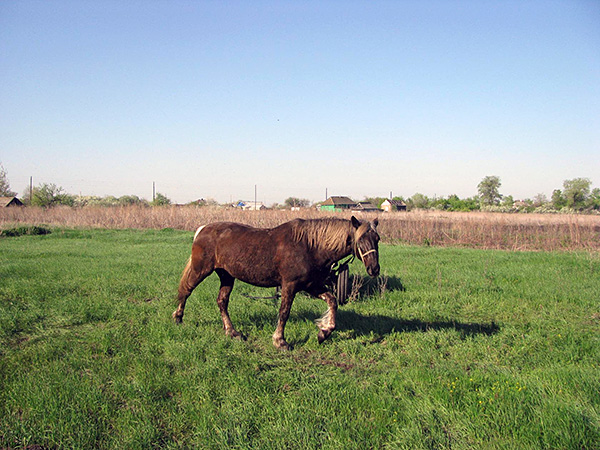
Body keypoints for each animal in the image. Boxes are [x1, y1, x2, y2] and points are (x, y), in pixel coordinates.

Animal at [173, 216, 380, 350]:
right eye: (361, 240)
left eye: (377, 239)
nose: (374, 269)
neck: (309, 245)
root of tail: (202, 229)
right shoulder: (290, 286)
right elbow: (284, 312)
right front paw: (280, 341)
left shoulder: (311, 286)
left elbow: (332, 301)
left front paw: (324, 332)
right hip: (201, 270)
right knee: (186, 291)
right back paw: (178, 318)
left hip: (227, 276)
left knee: (222, 302)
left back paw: (232, 332)